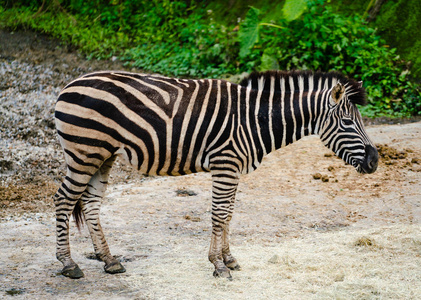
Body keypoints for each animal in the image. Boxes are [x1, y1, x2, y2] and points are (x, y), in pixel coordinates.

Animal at [52, 69, 378, 278]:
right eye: (348, 122)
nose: (375, 161)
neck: (256, 118)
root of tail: (69, 84)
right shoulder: (225, 163)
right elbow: (219, 214)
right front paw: (218, 265)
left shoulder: (234, 168)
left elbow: (230, 213)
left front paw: (229, 259)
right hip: (84, 152)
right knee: (63, 200)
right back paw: (68, 264)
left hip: (103, 155)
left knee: (91, 204)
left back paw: (109, 260)